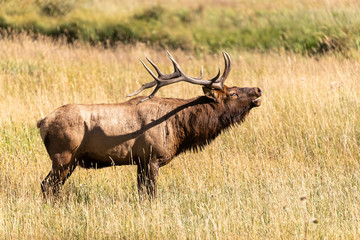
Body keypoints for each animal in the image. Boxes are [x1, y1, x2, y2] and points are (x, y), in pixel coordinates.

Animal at [37, 51, 262, 200]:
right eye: (233, 93)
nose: (258, 90)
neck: (180, 127)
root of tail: (42, 123)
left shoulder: (140, 161)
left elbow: (141, 194)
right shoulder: (152, 157)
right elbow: (151, 194)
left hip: (71, 161)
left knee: (53, 186)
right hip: (63, 156)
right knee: (47, 185)